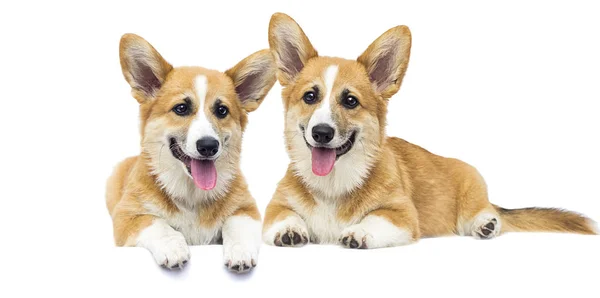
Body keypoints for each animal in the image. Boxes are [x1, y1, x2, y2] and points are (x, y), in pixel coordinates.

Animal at [106, 33, 276, 272]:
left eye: (221, 110)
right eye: (181, 108)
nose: (208, 146)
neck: (191, 193)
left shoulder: (247, 209)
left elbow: (236, 225)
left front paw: (240, 253)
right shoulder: (126, 216)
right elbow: (156, 223)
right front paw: (173, 249)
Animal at [262, 12, 596, 249]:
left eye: (350, 101)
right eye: (310, 96)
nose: (321, 133)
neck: (333, 185)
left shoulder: (402, 215)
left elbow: (375, 218)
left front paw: (358, 232)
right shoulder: (275, 206)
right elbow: (283, 215)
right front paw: (290, 229)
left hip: (472, 190)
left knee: (486, 212)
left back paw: (486, 223)